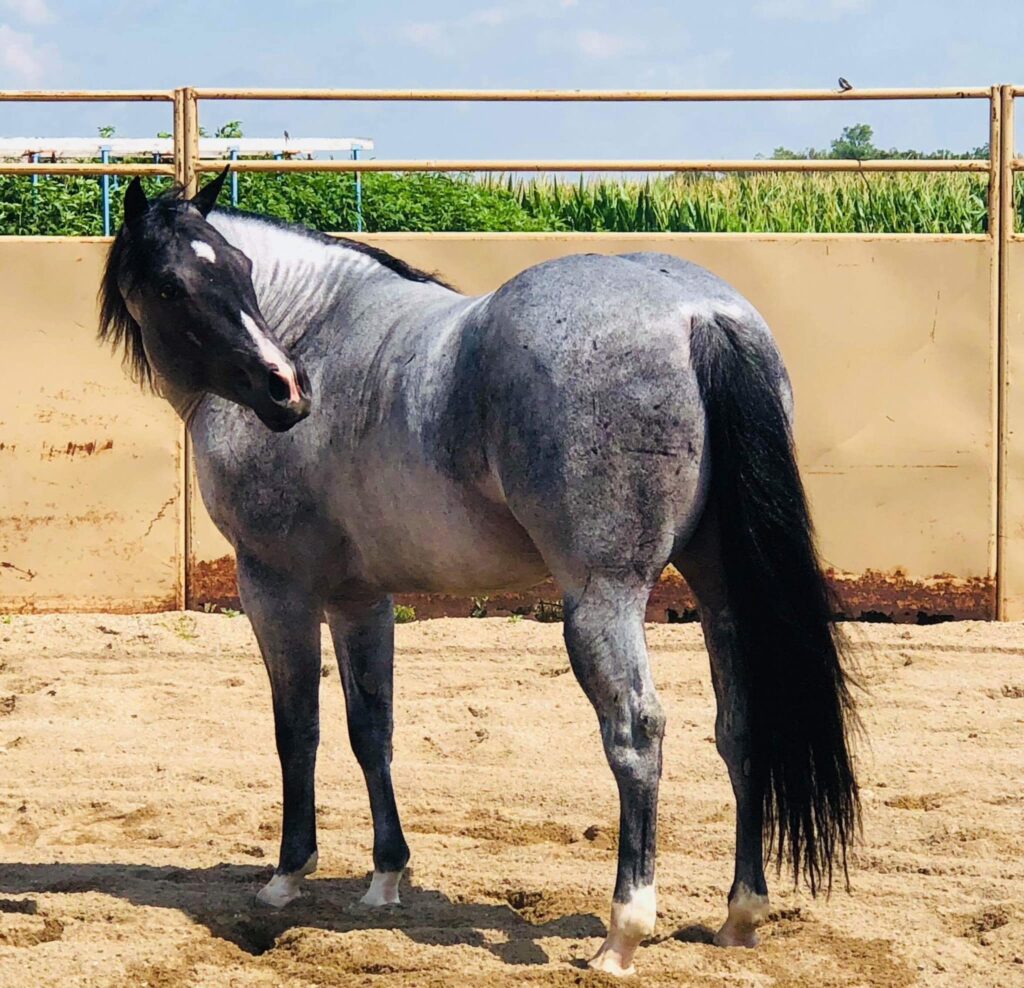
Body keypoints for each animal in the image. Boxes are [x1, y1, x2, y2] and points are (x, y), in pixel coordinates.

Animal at [99, 172, 860, 978]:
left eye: (239, 271)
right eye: (178, 284)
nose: (286, 389)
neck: (317, 326)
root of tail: (697, 313)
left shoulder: (276, 588)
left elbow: (297, 729)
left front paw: (287, 875)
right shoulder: (360, 598)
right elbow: (371, 728)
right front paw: (385, 879)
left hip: (601, 601)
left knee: (636, 732)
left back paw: (622, 933)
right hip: (719, 591)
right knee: (740, 726)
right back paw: (740, 914)